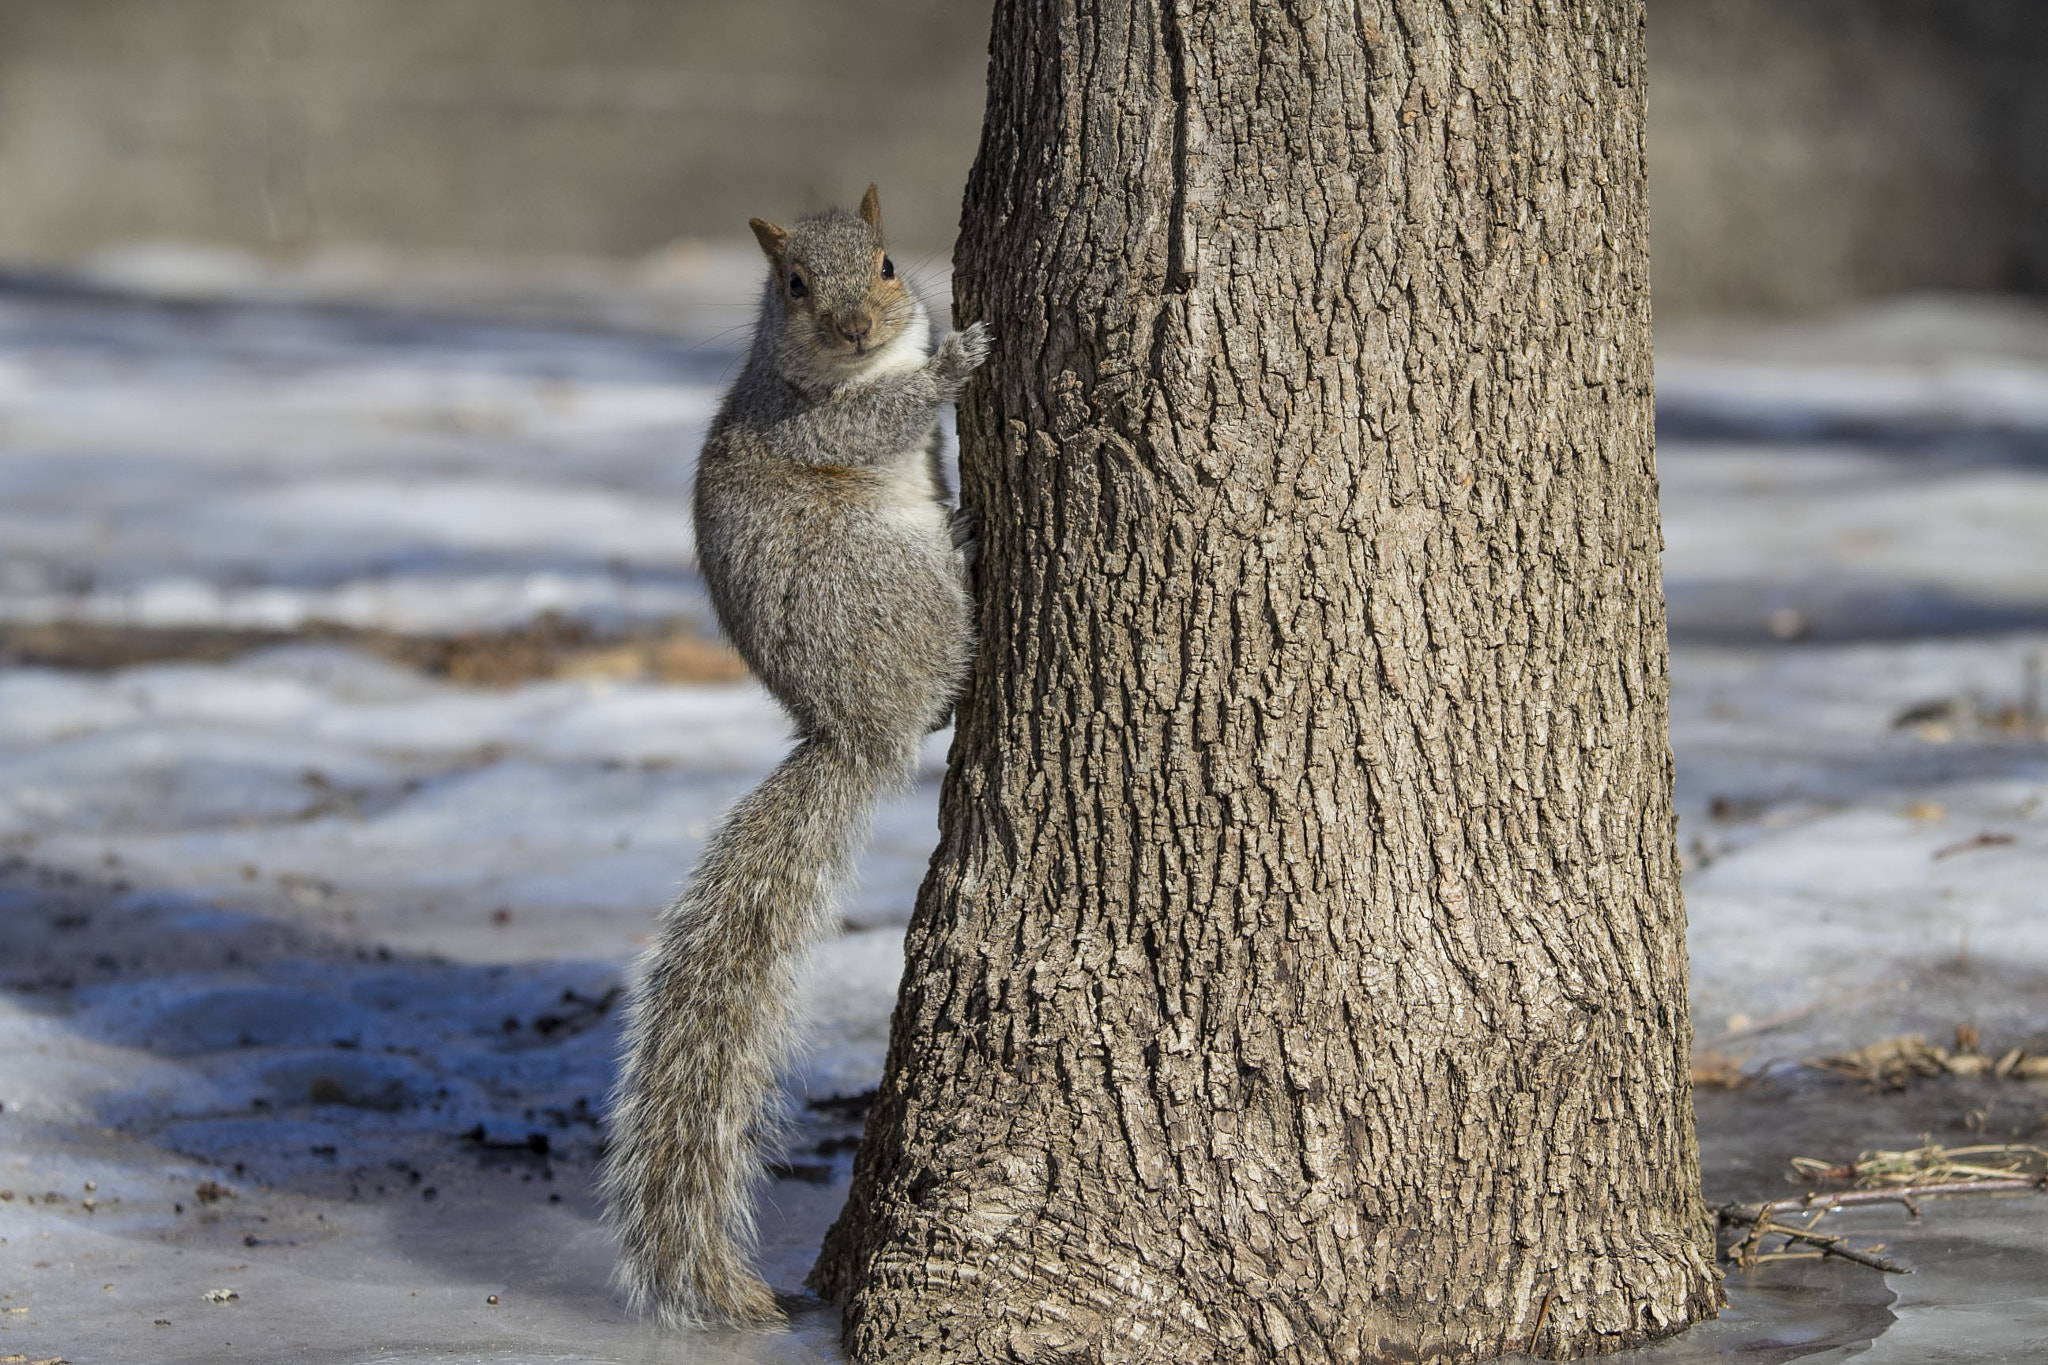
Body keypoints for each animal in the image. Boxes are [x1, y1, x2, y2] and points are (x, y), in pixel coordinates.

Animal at [598, 187, 987, 1326]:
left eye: (890, 262)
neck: (854, 366)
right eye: (794, 286)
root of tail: (853, 733)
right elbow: (873, 418)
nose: (857, 328)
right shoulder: (810, 415)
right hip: (873, 581)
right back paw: (965, 564)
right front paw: (956, 363)